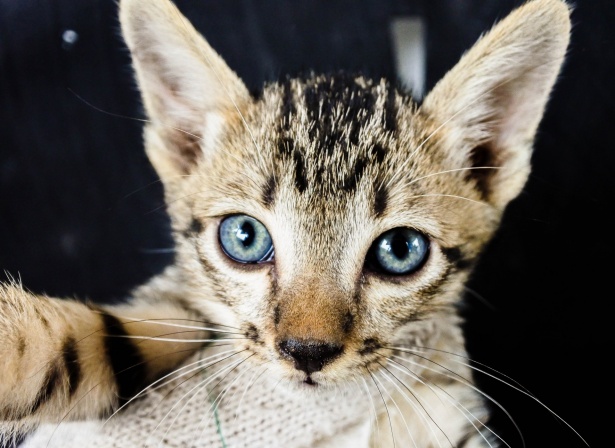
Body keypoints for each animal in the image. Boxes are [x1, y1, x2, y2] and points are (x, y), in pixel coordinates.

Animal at [0, 0, 580, 446]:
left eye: (399, 249)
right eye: (244, 237)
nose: (307, 351)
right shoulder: (185, 315)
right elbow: (93, 340)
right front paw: (18, 340)